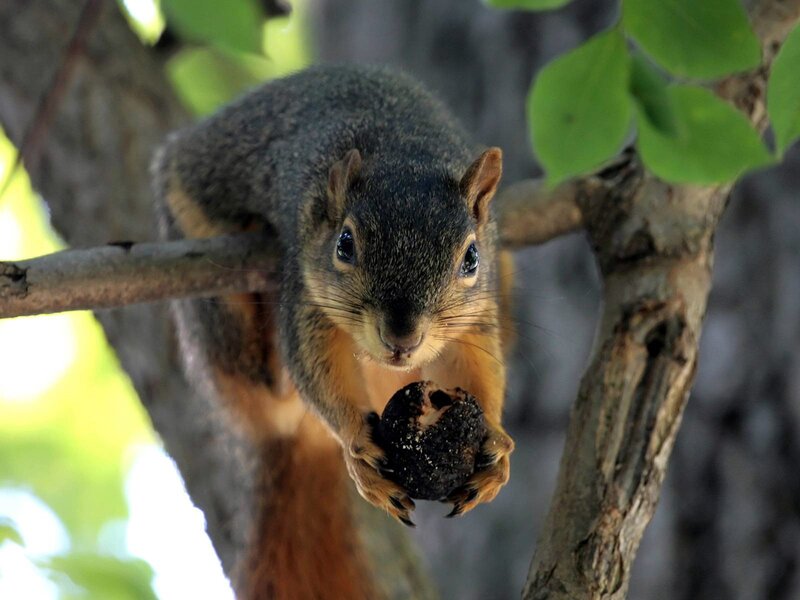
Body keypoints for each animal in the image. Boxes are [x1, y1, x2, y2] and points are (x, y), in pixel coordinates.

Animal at [152, 64, 515, 600]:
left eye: (471, 257)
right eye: (345, 244)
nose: (402, 339)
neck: (402, 147)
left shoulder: (479, 314)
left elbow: (478, 367)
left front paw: (494, 438)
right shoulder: (307, 292)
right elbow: (314, 364)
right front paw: (355, 442)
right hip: (210, 297)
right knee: (267, 385)